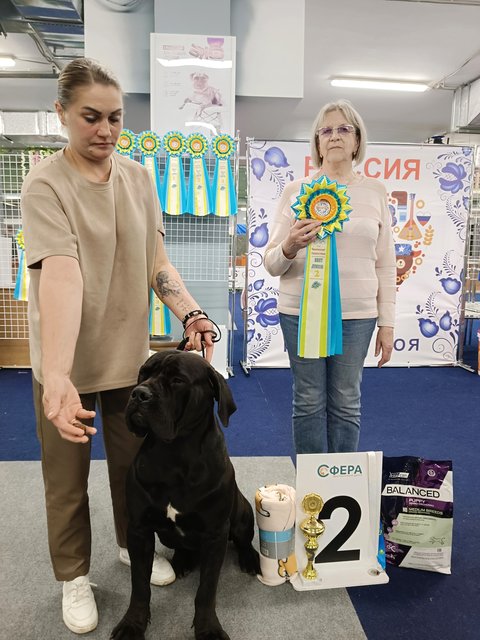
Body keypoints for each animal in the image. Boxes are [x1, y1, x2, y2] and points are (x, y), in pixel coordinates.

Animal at [111, 350, 260, 640]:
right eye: (143, 373)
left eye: (178, 380)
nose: (139, 394)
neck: (175, 453)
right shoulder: (139, 530)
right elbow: (139, 585)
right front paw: (132, 623)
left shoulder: (215, 534)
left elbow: (206, 590)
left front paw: (209, 628)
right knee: (181, 546)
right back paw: (182, 561)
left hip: (242, 513)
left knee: (243, 540)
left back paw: (249, 559)